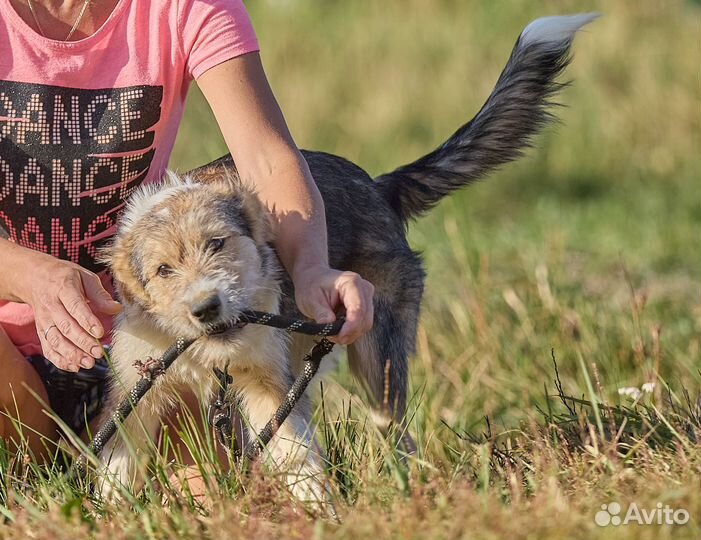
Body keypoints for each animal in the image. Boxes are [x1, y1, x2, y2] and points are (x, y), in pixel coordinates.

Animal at [94, 14, 596, 506]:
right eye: (163, 270)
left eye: (218, 244)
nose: (206, 308)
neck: (209, 352)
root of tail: (379, 185)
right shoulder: (136, 393)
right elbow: (118, 463)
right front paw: (109, 511)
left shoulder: (269, 381)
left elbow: (294, 450)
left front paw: (319, 510)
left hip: (378, 355)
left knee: (397, 432)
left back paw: (403, 485)